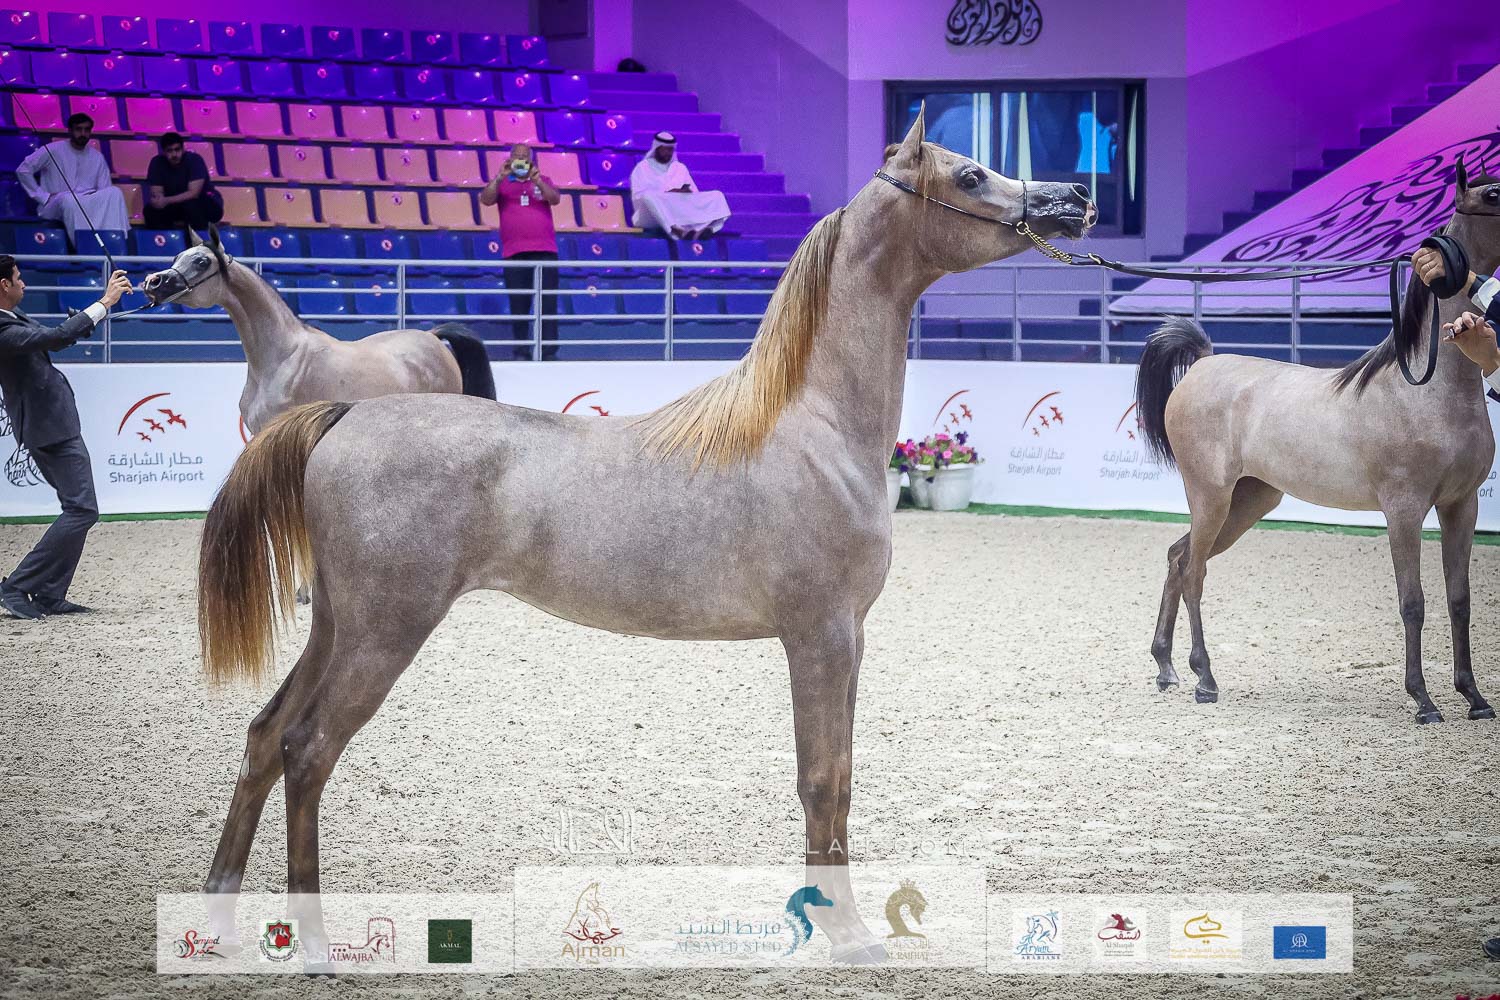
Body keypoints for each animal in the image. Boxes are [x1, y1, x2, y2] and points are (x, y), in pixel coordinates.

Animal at [192, 107, 1095, 965]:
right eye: (971, 174)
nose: (1076, 198)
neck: (814, 425)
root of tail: (346, 415)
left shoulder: (852, 637)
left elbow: (842, 778)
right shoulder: (820, 636)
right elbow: (821, 780)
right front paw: (847, 934)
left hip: (336, 624)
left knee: (265, 737)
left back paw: (220, 921)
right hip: (383, 631)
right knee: (308, 750)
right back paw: (312, 942)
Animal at [1134, 161, 1500, 725]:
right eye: (1495, 193)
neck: (1428, 389)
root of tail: (1202, 362)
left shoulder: (1461, 506)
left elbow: (1459, 601)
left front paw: (1474, 698)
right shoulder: (1405, 510)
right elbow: (1413, 602)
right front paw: (1423, 701)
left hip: (1248, 501)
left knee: (1178, 558)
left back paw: (1168, 669)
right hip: (1211, 497)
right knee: (1193, 571)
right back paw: (1205, 679)